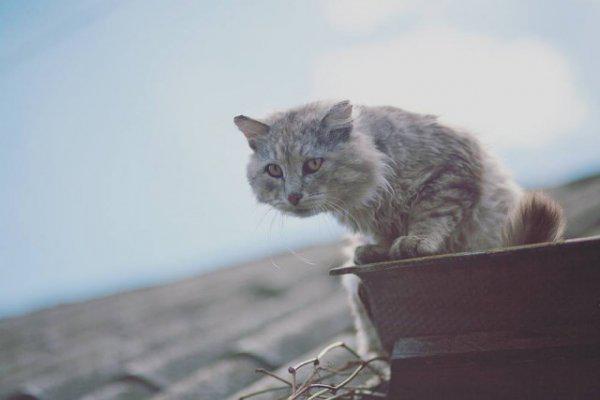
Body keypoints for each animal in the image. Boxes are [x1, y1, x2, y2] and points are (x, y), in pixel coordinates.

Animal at [233, 101, 564, 358]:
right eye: (274, 170)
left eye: (313, 164)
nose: (293, 196)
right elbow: (382, 238)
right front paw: (377, 250)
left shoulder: (451, 173)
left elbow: (431, 214)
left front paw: (415, 242)